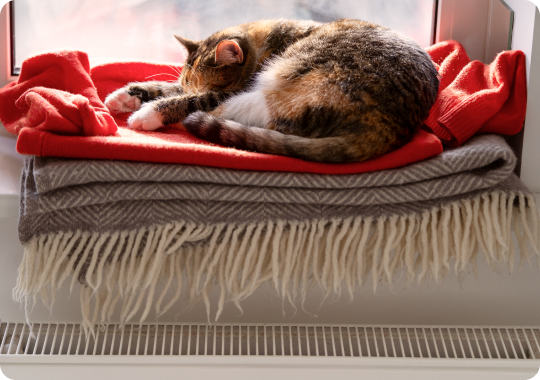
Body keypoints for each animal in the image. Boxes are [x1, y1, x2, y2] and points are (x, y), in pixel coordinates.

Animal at [105, 19, 438, 162]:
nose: (143, 112)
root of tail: (389, 127)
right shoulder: (185, 86)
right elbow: (170, 87)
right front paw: (125, 96)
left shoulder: (222, 92)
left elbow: (191, 98)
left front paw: (146, 112)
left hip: (287, 84)